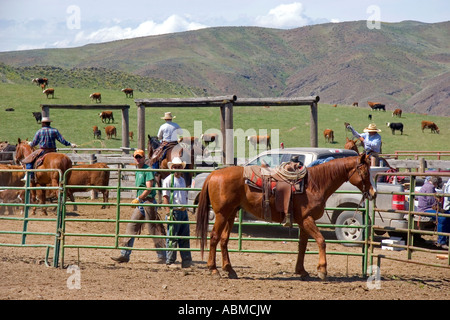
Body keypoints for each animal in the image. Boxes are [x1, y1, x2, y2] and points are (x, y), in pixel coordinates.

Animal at [195, 154, 374, 280]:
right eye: (365, 172)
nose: (373, 193)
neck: (315, 184)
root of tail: (213, 175)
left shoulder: (303, 222)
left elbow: (302, 245)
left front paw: (301, 271)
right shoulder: (307, 219)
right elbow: (321, 241)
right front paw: (322, 270)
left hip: (231, 213)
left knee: (224, 240)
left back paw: (230, 270)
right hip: (221, 214)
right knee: (214, 237)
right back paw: (214, 270)